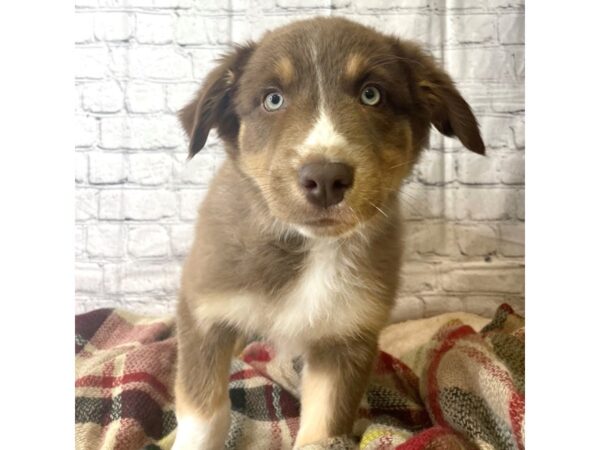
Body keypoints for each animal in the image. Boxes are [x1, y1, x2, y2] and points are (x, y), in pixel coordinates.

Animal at [171, 16, 486, 450]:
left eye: (372, 94)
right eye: (273, 100)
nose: (324, 179)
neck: (309, 248)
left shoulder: (345, 339)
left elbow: (322, 430)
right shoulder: (204, 313)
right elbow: (204, 412)